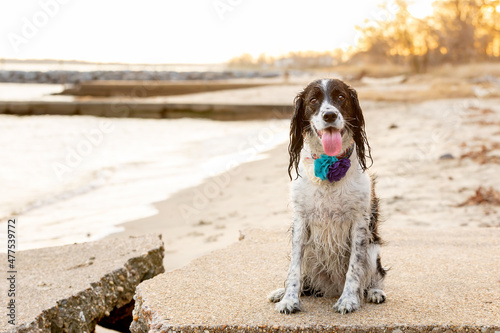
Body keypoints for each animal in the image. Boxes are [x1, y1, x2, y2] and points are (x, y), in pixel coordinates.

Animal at [270, 78, 386, 314]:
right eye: (313, 100)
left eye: (341, 97)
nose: (330, 115)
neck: (329, 163)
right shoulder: (301, 220)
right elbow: (294, 269)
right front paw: (289, 300)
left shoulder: (359, 223)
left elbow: (354, 268)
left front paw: (348, 300)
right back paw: (282, 292)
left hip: (373, 250)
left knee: (375, 276)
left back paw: (374, 292)